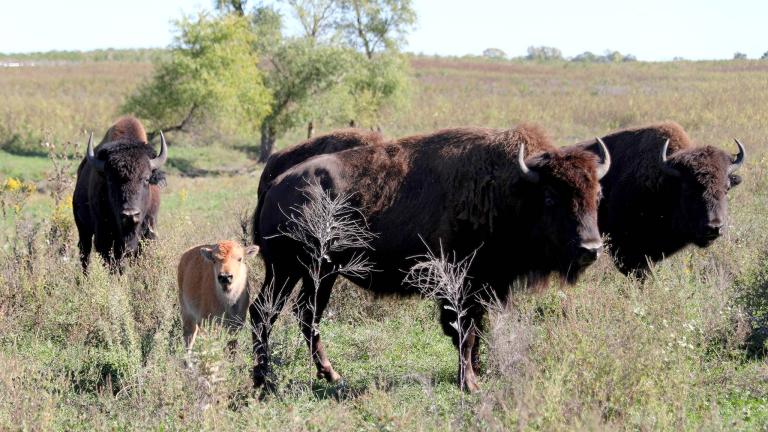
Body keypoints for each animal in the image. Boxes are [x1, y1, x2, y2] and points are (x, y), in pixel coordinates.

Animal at [73, 116, 168, 272]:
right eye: (110, 180)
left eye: (146, 179)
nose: (130, 214)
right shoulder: (104, 238)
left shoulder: (148, 234)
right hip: (83, 229)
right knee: (84, 255)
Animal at [252, 123, 612, 390]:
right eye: (551, 197)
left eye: (597, 194)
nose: (590, 249)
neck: (511, 189)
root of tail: (277, 183)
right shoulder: (460, 286)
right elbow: (463, 333)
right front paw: (470, 384)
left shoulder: (481, 288)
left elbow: (474, 332)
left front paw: (476, 374)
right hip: (287, 269)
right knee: (264, 313)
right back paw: (265, 382)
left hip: (320, 273)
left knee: (306, 315)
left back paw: (330, 375)